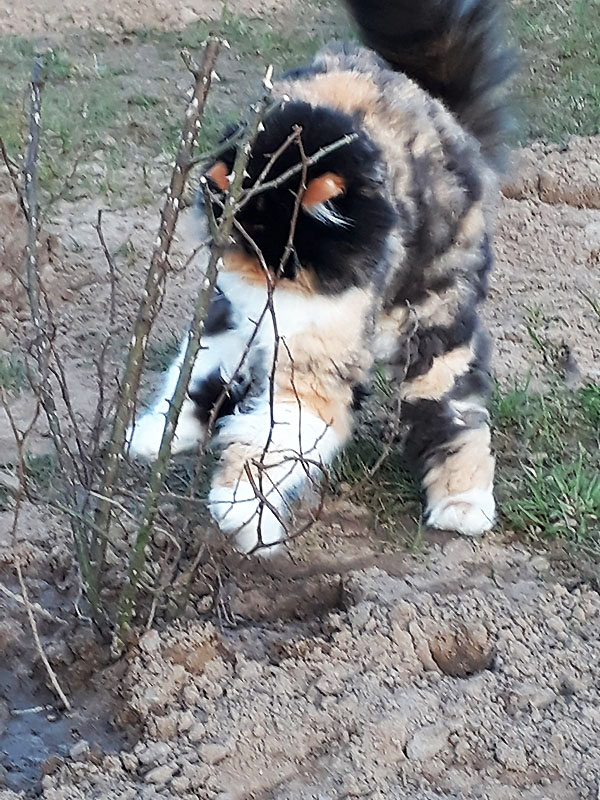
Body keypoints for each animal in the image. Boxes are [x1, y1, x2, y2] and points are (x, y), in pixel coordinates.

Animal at [126, 0, 510, 556]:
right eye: (243, 248)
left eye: (287, 260)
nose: (260, 291)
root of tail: (439, 108)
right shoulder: (230, 316)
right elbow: (194, 375)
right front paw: (160, 433)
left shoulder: (312, 373)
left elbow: (264, 444)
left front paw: (240, 513)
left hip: (433, 325)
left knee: (457, 414)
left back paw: (463, 504)